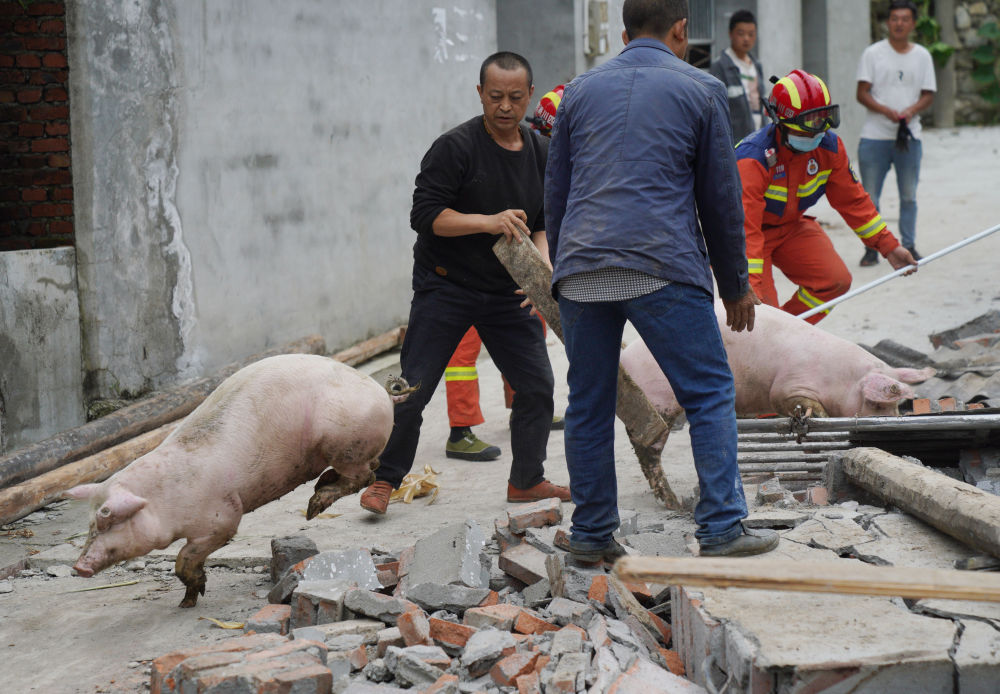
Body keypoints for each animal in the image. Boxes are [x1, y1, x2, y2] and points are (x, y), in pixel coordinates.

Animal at [64, 354, 412, 607]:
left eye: (109, 520)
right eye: (91, 525)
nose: (78, 567)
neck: (164, 498)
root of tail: (382, 393)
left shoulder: (224, 517)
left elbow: (185, 557)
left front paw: (190, 600)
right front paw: (186, 602)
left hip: (344, 442)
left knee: (365, 474)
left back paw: (314, 506)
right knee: (369, 467)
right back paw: (319, 486)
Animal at [621, 301, 935, 422]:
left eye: (898, 406)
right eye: (877, 405)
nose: (892, 419)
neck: (842, 379)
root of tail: (626, 355)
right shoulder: (787, 384)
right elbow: (791, 400)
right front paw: (816, 415)